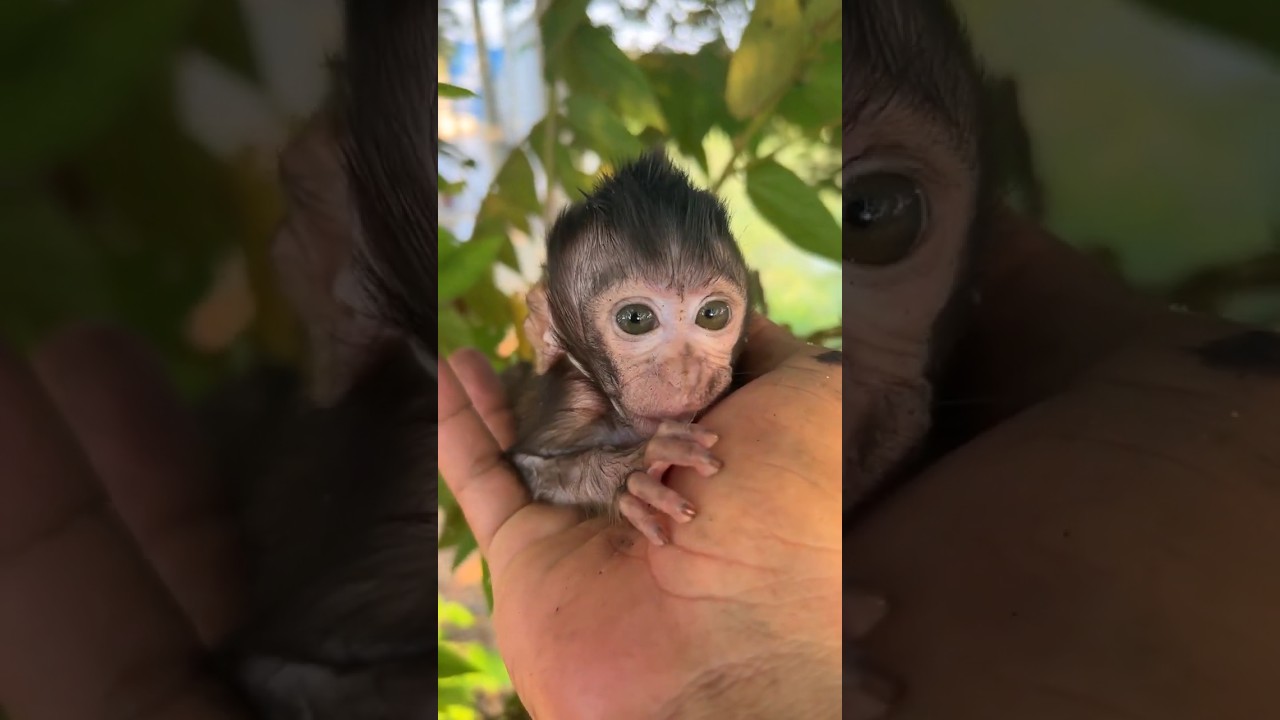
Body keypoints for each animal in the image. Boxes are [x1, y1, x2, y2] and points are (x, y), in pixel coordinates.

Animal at [505, 152, 754, 547]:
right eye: (636, 319)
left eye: (713, 314)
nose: (687, 373)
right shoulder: (572, 404)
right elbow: (526, 466)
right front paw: (632, 472)